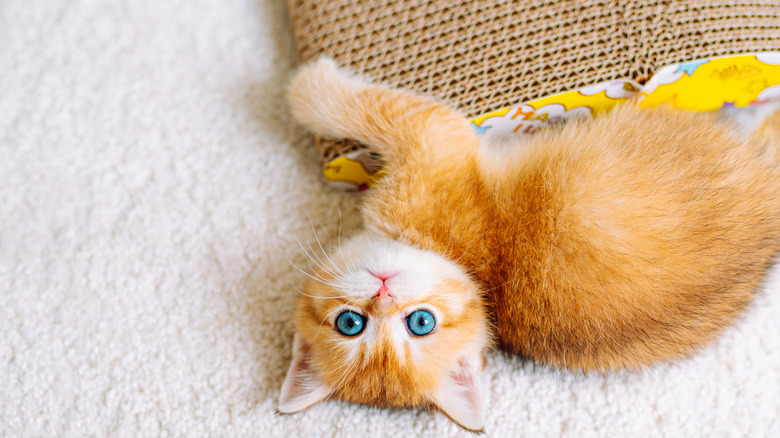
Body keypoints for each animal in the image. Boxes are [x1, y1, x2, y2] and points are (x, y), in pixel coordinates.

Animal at [276, 59, 780, 432]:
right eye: (351, 323)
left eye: (420, 323)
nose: (383, 291)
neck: (477, 275)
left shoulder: (434, 139)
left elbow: (376, 107)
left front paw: (306, 85)